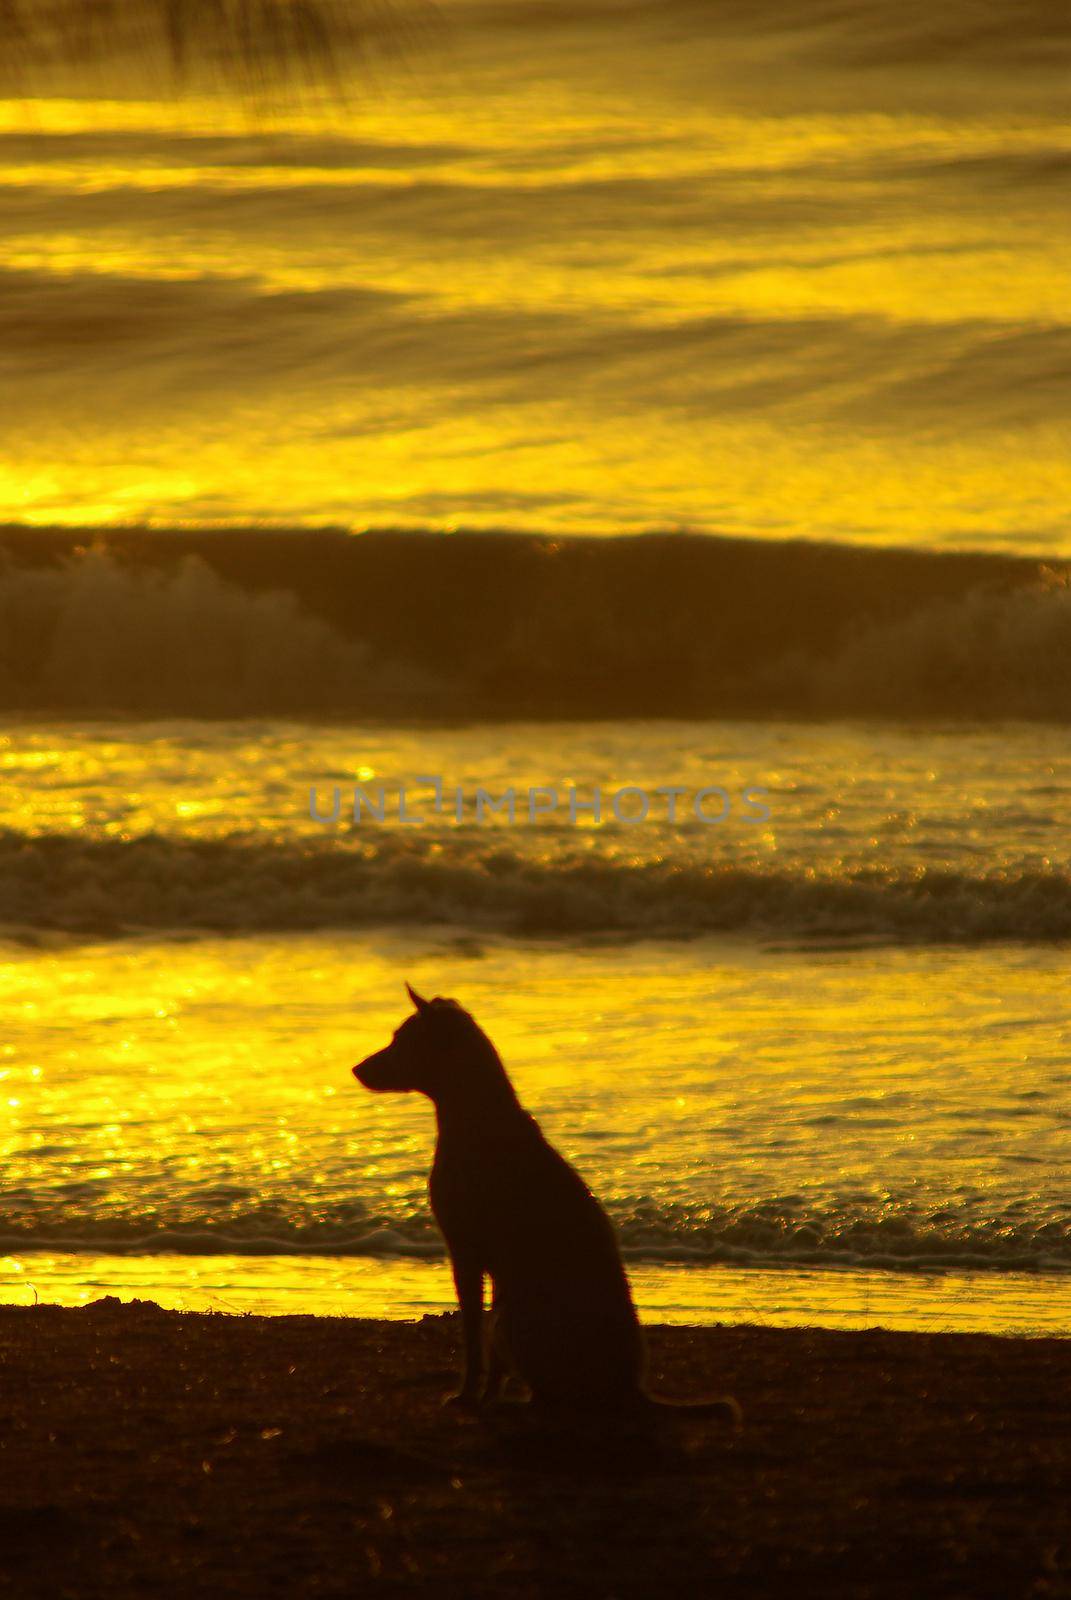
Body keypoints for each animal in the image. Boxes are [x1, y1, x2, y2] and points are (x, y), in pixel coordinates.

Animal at [355, 985, 739, 1427]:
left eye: (401, 1040)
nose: (356, 1069)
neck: (478, 1116)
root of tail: (630, 1388)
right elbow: (490, 1356)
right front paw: (484, 1396)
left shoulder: (465, 1253)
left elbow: (472, 1338)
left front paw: (468, 1396)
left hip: (515, 1319)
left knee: (551, 1395)